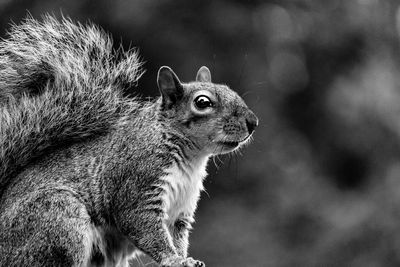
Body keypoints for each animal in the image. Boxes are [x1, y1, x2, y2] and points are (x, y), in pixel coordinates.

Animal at [0, 16, 256, 267]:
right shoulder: (137, 183)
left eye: (230, 89)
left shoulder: (181, 211)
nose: (253, 122)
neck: (190, 159)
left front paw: (186, 258)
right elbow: (143, 227)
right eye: (203, 102)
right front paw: (173, 259)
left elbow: (178, 237)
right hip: (58, 218)